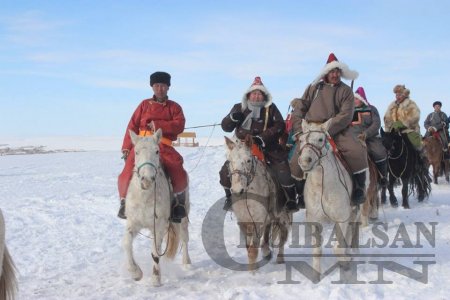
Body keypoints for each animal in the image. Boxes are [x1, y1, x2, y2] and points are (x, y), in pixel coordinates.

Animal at [122, 129, 191, 286]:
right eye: (136, 152)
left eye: (157, 151)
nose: (147, 180)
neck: (145, 197)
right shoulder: (133, 223)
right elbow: (127, 244)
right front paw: (136, 273)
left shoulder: (158, 225)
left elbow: (155, 252)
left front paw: (156, 279)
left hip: (183, 218)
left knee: (184, 238)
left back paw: (187, 263)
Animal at [225, 135, 292, 270]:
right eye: (230, 161)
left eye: (248, 160)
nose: (237, 190)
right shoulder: (244, 222)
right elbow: (248, 247)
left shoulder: (258, 221)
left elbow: (252, 250)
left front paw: (253, 272)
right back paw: (266, 252)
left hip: (283, 217)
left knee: (283, 236)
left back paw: (280, 258)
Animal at [296, 119, 366, 278]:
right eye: (301, 140)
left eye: (320, 139)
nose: (305, 161)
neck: (322, 186)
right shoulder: (315, 220)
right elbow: (317, 250)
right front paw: (316, 275)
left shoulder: (342, 218)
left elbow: (338, 248)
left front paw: (346, 265)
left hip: (355, 211)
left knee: (353, 231)